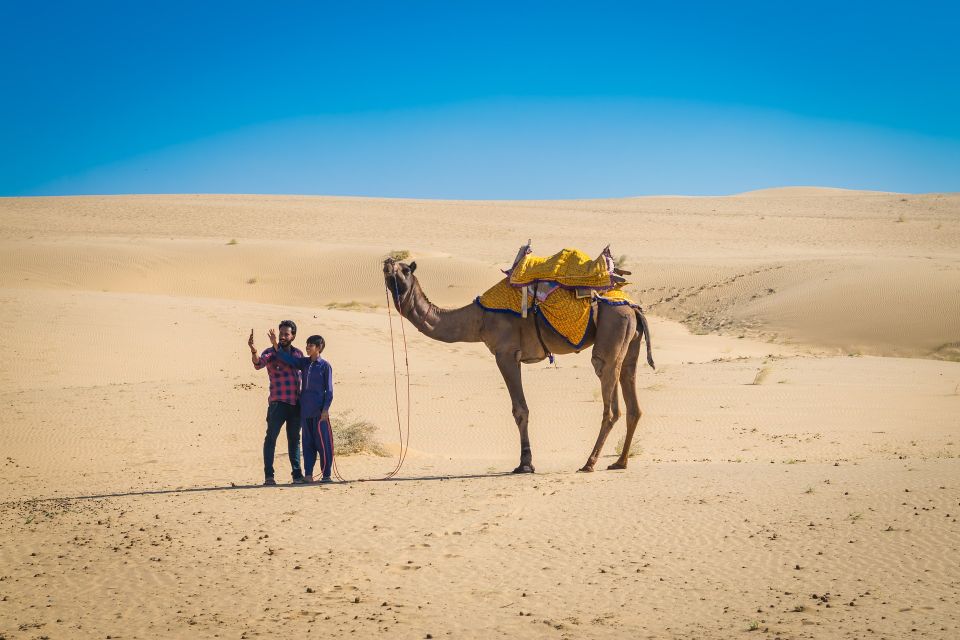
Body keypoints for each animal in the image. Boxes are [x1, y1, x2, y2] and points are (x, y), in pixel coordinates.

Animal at [382, 258, 652, 472]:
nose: (387, 261)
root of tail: (634, 308)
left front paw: (525, 464)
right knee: (633, 400)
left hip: (612, 331)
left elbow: (520, 410)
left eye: (405, 269)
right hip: (631, 343)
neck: (479, 319)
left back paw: (589, 463)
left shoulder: (505, 354)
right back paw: (619, 462)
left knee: (609, 394)